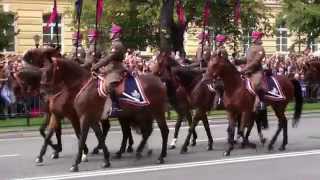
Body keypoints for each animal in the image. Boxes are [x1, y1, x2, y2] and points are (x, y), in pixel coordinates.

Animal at [40, 57, 169, 172]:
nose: (43, 91)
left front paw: (76, 163)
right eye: (42, 70)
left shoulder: (83, 118)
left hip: (156, 112)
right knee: (144, 131)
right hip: (141, 114)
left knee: (163, 131)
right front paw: (106, 160)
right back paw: (138, 151)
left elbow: (81, 139)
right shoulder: (89, 118)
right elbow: (99, 136)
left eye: (48, 70)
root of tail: (159, 81)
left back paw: (160, 156)